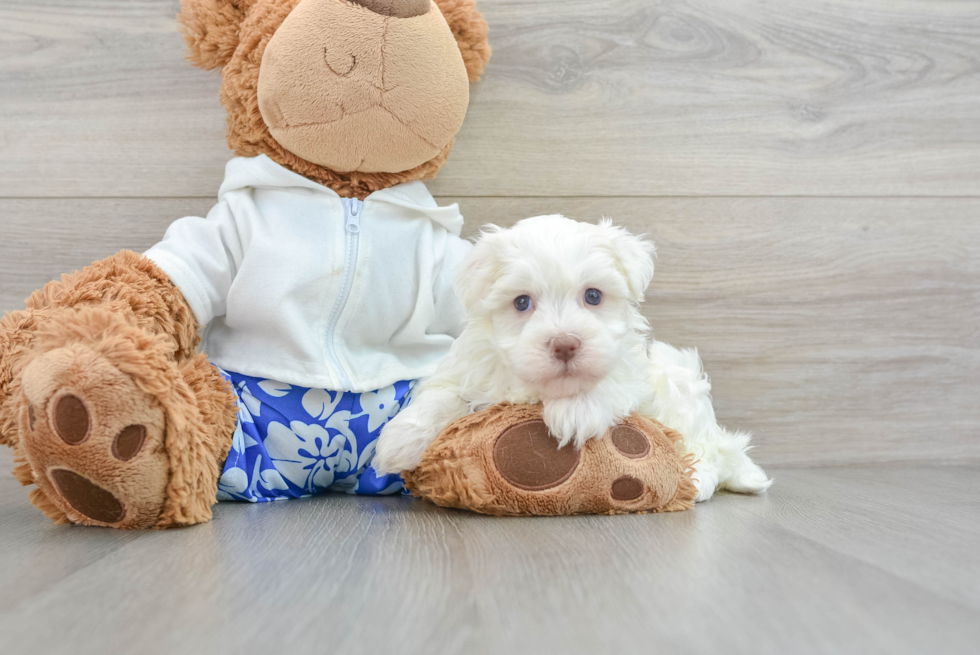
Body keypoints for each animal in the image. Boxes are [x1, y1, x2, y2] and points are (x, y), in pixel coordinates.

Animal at [378, 215, 772, 502]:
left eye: (593, 296)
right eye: (522, 302)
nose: (565, 344)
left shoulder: (636, 373)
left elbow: (611, 379)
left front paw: (577, 409)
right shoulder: (467, 368)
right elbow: (443, 395)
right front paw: (399, 440)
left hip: (682, 382)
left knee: (708, 448)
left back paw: (697, 479)